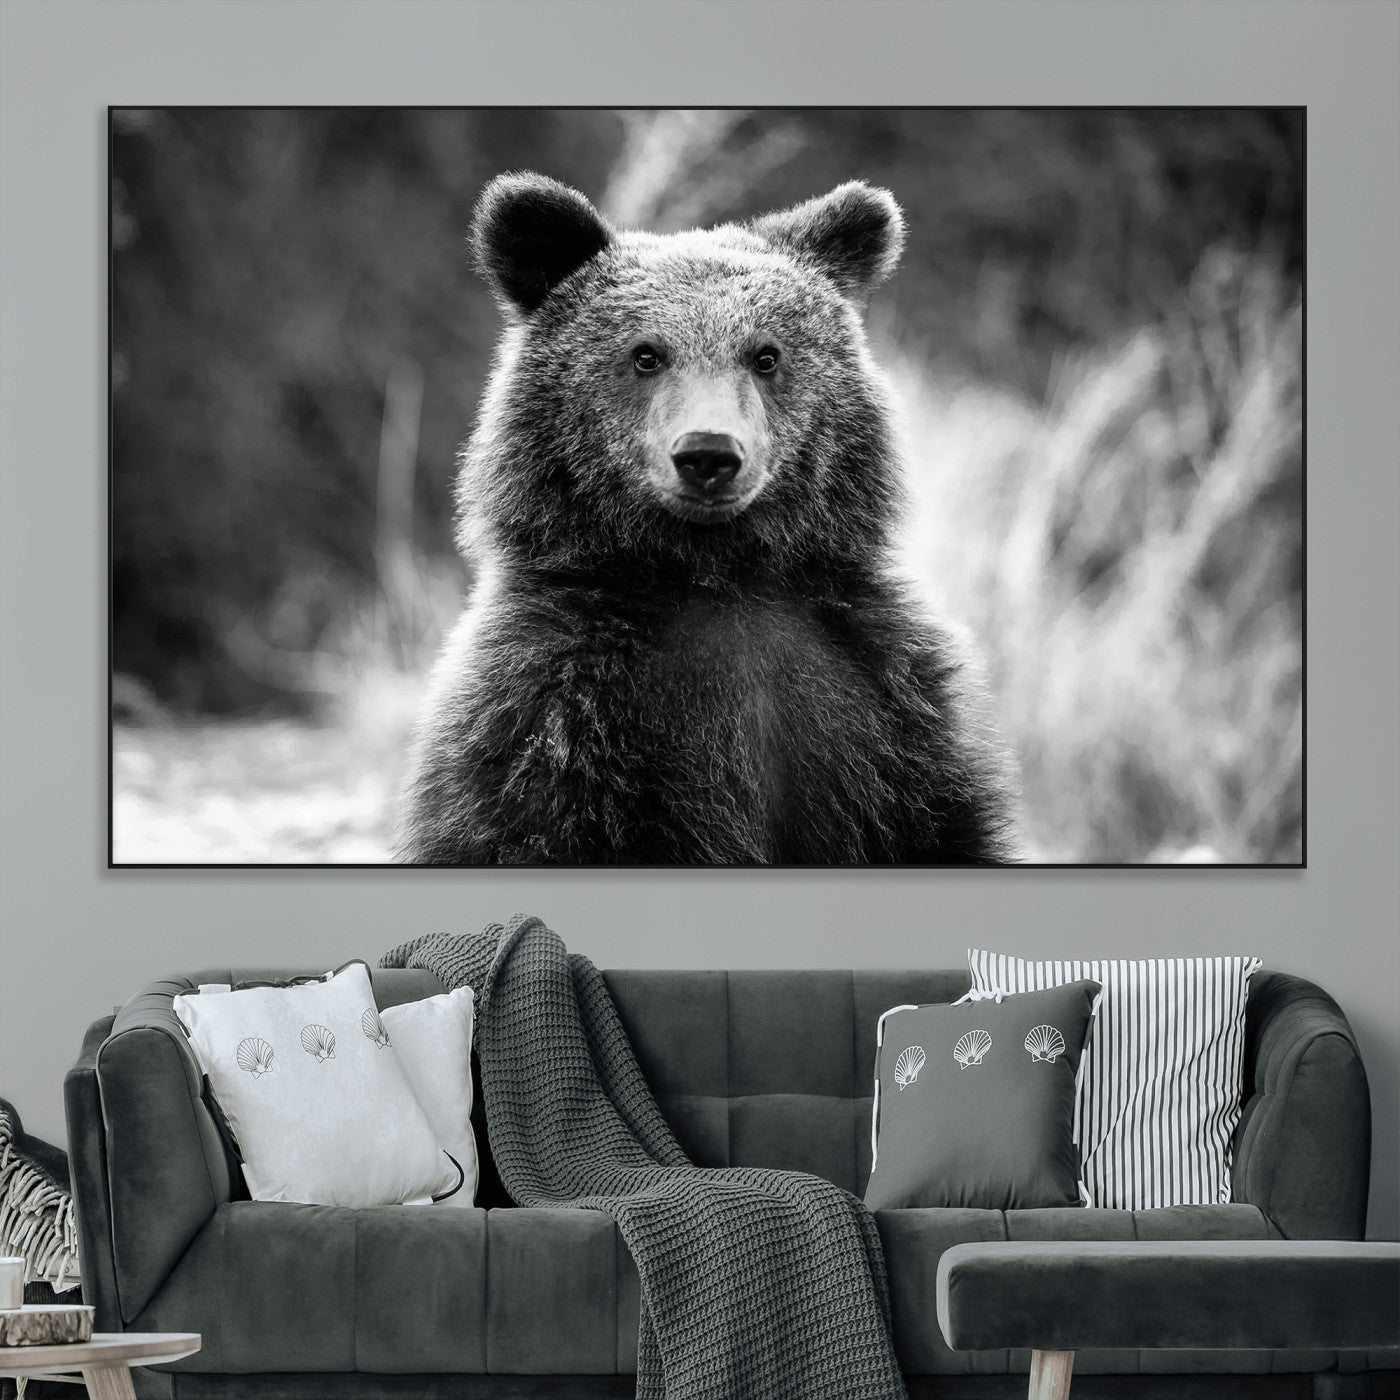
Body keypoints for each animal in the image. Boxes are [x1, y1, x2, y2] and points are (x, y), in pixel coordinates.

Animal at [396, 172, 1018, 865]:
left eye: (766, 355)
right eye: (646, 354)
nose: (708, 454)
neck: (715, 574)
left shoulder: (884, 706)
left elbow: (938, 823)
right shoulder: (552, 718)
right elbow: (522, 824)